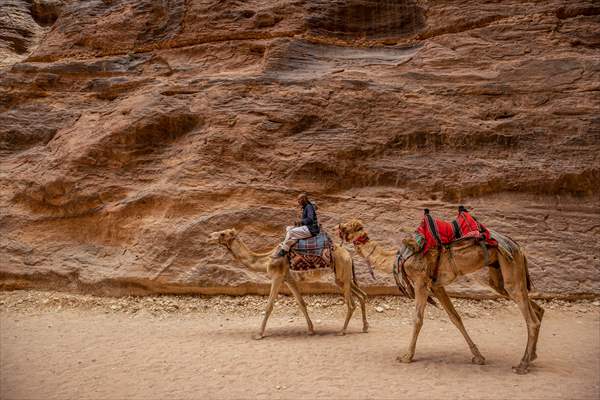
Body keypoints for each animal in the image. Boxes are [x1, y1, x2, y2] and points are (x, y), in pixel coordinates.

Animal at [206, 230, 368, 340]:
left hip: (342, 274)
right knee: (362, 295)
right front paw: (311, 330)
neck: (266, 259)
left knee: (351, 304)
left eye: (222, 233)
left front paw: (259, 334)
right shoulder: (288, 278)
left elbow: (269, 306)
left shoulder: (277, 277)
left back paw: (342, 331)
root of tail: (349, 255)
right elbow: (301, 303)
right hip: (343, 278)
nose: (209, 236)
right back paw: (365, 327)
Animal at [338, 219, 544, 376]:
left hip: (510, 267)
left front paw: (406, 356)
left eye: (346, 228)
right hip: (499, 275)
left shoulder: (420, 282)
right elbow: (455, 317)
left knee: (531, 318)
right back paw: (532, 356)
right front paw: (478, 356)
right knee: (537, 309)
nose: (337, 227)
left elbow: (418, 319)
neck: (397, 257)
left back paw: (522, 365)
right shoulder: (437, 286)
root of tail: (518, 247)